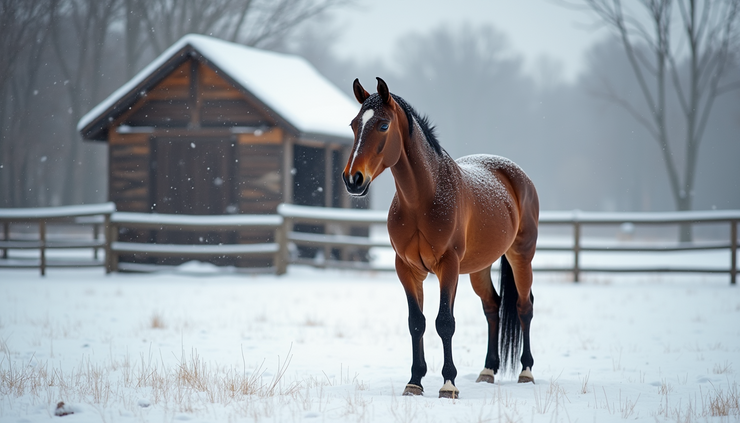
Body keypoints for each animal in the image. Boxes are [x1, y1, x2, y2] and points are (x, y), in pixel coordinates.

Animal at [342, 78, 540, 398]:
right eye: (354, 125)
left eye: (383, 125)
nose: (353, 179)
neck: (423, 198)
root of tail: (517, 175)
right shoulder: (407, 269)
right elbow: (417, 323)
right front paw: (414, 381)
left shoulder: (448, 266)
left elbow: (444, 322)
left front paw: (448, 384)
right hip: (480, 267)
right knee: (493, 307)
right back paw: (488, 370)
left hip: (521, 256)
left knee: (524, 307)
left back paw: (526, 371)